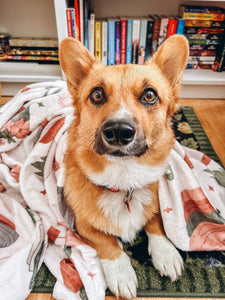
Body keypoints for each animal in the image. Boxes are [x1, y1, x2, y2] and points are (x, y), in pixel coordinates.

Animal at [59, 35, 189, 300]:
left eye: (149, 95)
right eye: (97, 94)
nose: (119, 131)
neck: (123, 179)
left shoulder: (158, 202)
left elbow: (156, 222)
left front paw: (167, 253)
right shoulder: (81, 225)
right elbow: (106, 242)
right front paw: (121, 274)